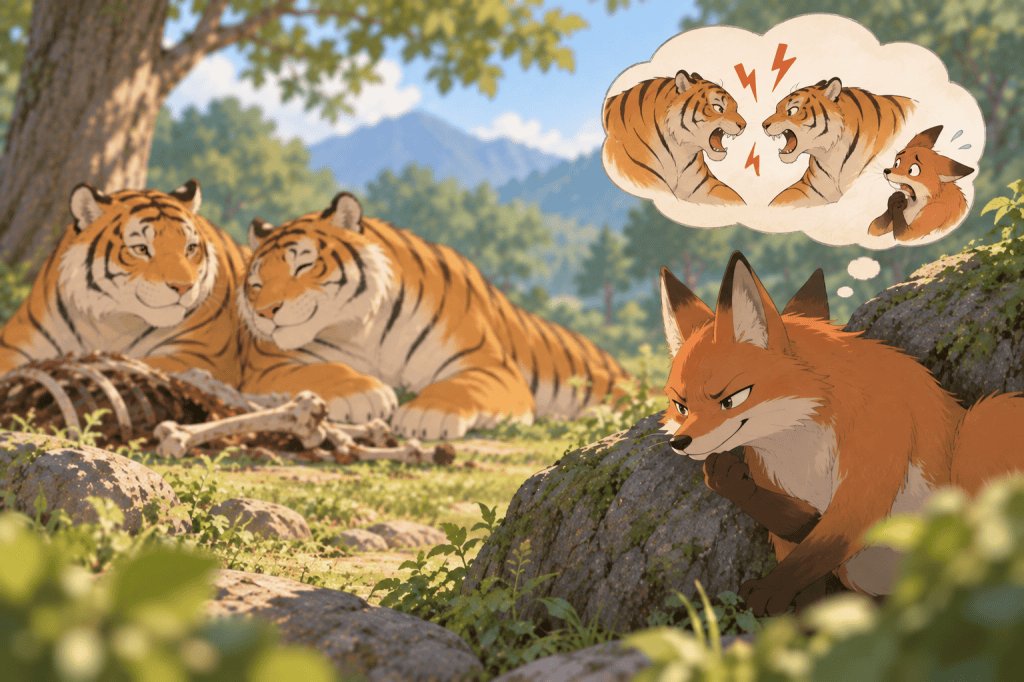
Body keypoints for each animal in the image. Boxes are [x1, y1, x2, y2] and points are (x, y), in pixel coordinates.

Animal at [0, 180, 249, 387]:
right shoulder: (14, 345)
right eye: (141, 249)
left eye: (190, 248)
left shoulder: (203, 356)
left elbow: (138, 363)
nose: (184, 287)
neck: (112, 322)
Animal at [237, 192, 632, 440]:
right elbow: (324, 370)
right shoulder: (268, 366)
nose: (265, 312)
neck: (360, 328)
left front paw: (427, 414)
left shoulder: (491, 367)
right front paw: (366, 395)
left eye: (302, 265)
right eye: (256, 283)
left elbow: (460, 386)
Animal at [603, 70, 746, 205]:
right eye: (718, 108)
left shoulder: (704, 183)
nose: (743, 125)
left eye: (736, 108)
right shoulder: (649, 182)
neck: (678, 152)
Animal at [659, 252, 1024, 616]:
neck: (800, 453)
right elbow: (806, 574)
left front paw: (769, 590)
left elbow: (816, 551)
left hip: (986, 421)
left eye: (731, 400)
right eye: (681, 407)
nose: (680, 443)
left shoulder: (865, 486)